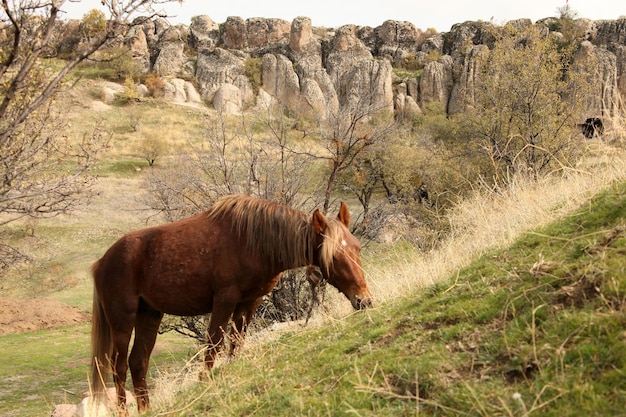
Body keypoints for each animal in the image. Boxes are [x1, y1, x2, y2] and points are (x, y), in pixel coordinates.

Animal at [89, 194, 370, 412]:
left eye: (357, 248)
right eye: (333, 256)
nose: (363, 300)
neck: (253, 242)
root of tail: (102, 262)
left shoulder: (249, 302)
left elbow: (236, 342)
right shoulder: (225, 299)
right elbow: (214, 343)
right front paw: (205, 382)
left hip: (149, 315)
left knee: (138, 363)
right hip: (123, 320)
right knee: (119, 367)